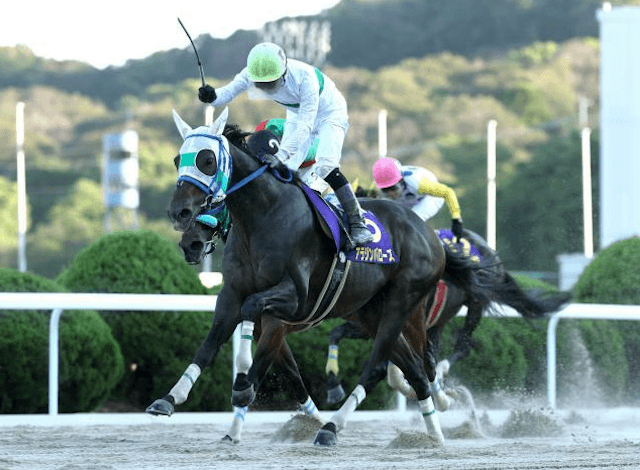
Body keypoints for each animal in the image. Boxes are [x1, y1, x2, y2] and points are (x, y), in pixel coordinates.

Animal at [146, 107, 484, 448]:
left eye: (207, 159)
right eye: (177, 160)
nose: (182, 220)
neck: (263, 217)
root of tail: (430, 235)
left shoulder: (291, 302)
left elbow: (255, 326)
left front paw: (242, 387)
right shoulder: (232, 294)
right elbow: (217, 345)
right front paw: (171, 398)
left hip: (402, 301)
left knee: (379, 365)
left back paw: (332, 428)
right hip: (370, 311)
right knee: (414, 370)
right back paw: (433, 436)